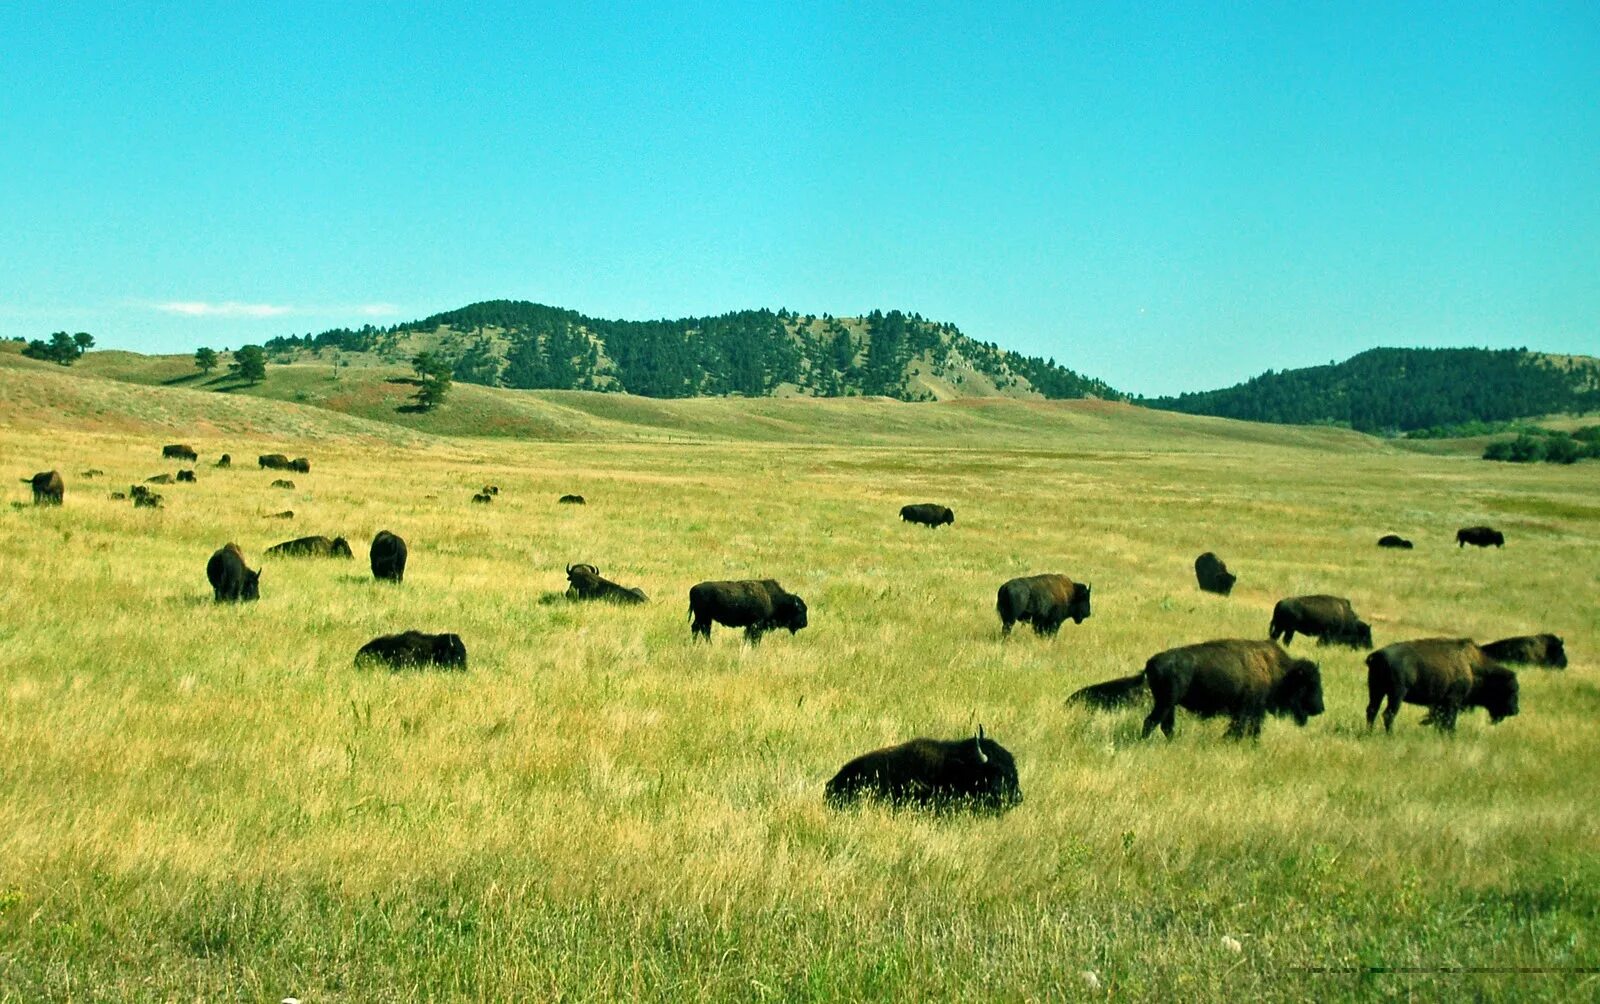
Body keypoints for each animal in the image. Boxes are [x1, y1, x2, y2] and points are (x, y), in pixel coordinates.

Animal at [1145, 639, 1331, 741]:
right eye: (1308, 684)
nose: (1320, 708)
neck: (1279, 671)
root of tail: (1152, 662)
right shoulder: (1247, 710)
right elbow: (1240, 728)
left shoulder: (1255, 711)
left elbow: (1253, 729)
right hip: (1165, 703)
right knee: (1151, 721)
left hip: (1169, 705)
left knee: (1165, 726)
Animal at [1369, 639, 1516, 732]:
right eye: (1510, 689)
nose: (1515, 710)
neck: (1471, 667)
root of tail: (1378, 655)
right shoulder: (1452, 702)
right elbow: (1449, 722)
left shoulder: (1441, 704)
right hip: (1396, 694)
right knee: (1388, 714)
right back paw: (1390, 735)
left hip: (1377, 691)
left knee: (1372, 710)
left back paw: (1369, 733)